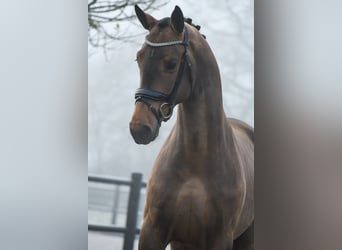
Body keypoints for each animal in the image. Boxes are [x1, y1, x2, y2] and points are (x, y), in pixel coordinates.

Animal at [130, 4, 252, 249]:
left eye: (171, 63)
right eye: (139, 58)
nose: (139, 128)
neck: (195, 161)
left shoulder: (220, 239)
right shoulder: (152, 232)